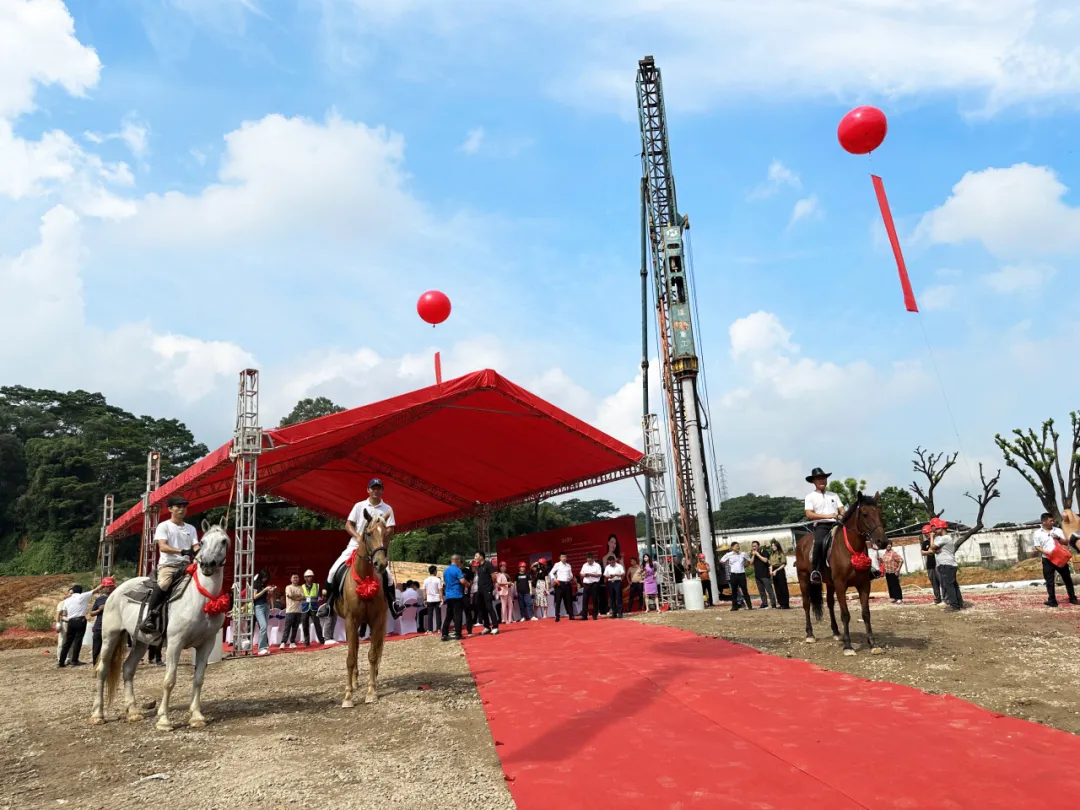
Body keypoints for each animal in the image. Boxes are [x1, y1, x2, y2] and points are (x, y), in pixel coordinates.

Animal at [89, 522, 230, 734]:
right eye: (203, 541)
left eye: (223, 541)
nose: (207, 565)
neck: (200, 599)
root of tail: (115, 591)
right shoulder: (175, 643)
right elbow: (169, 680)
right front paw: (164, 720)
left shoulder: (207, 643)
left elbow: (199, 679)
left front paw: (196, 717)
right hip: (110, 636)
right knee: (102, 670)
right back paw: (98, 715)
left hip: (140, 642)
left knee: (128, 668)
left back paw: (133, 712)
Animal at [336, 514, 393, 708]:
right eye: (368, 533)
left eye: (387, 533)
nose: (380, 563)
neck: (364, 578)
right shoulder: (350, 620)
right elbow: (350, 657)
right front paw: (347, 696)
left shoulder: (377, 619)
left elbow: (373, 655)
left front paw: (371, 692)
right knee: (354, 648)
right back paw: (354, 683)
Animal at [794, 494, 885, 660]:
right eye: (864, 514)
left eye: (880, 512)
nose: (882, 542)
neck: (851, 549)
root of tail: (801, 541)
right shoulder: (841, 585)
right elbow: (845, 614)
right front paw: (848, 646)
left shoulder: (864, 585)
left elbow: (866, 614)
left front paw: (873, 644)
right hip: (804, 578)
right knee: (806, 604)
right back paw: (810, 635)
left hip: (830, 584)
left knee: (830, 604)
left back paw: (836, 632)